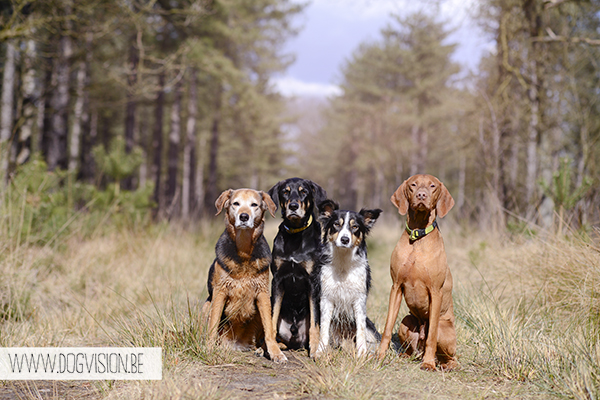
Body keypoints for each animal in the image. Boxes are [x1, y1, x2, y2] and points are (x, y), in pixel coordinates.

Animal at [200, 188, 288, 362]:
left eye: (254, 205)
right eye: (236, 203)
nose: (244, 217)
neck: (244, 249)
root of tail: (237, 345)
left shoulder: (262, 294)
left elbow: (269, 328)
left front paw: (275, 352)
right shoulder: (220, 292)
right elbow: (213, 324)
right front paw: (209, 349)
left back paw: (262, 349)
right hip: (206, 305)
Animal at [268, 177, 328, 352]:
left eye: (304, 191)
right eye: (285, 191)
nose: (293, 206)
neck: (295, 234)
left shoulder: (313, 281)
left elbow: (315, 322)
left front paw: (315, 350)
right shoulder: (277, 280)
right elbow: (272, 318)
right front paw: (268, 346)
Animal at [378, 175, 458, 372]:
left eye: (433, 186)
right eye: (413, 185)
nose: (422, 195)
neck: (418, 237)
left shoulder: (435, 292)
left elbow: (431, 337)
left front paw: (428, 363)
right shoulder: (396, 286)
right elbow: (387, 327)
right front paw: (379, 355)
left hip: (444, 329)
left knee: (449, 355)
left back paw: (443, 364)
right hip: (406, 320)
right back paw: (404, 356)